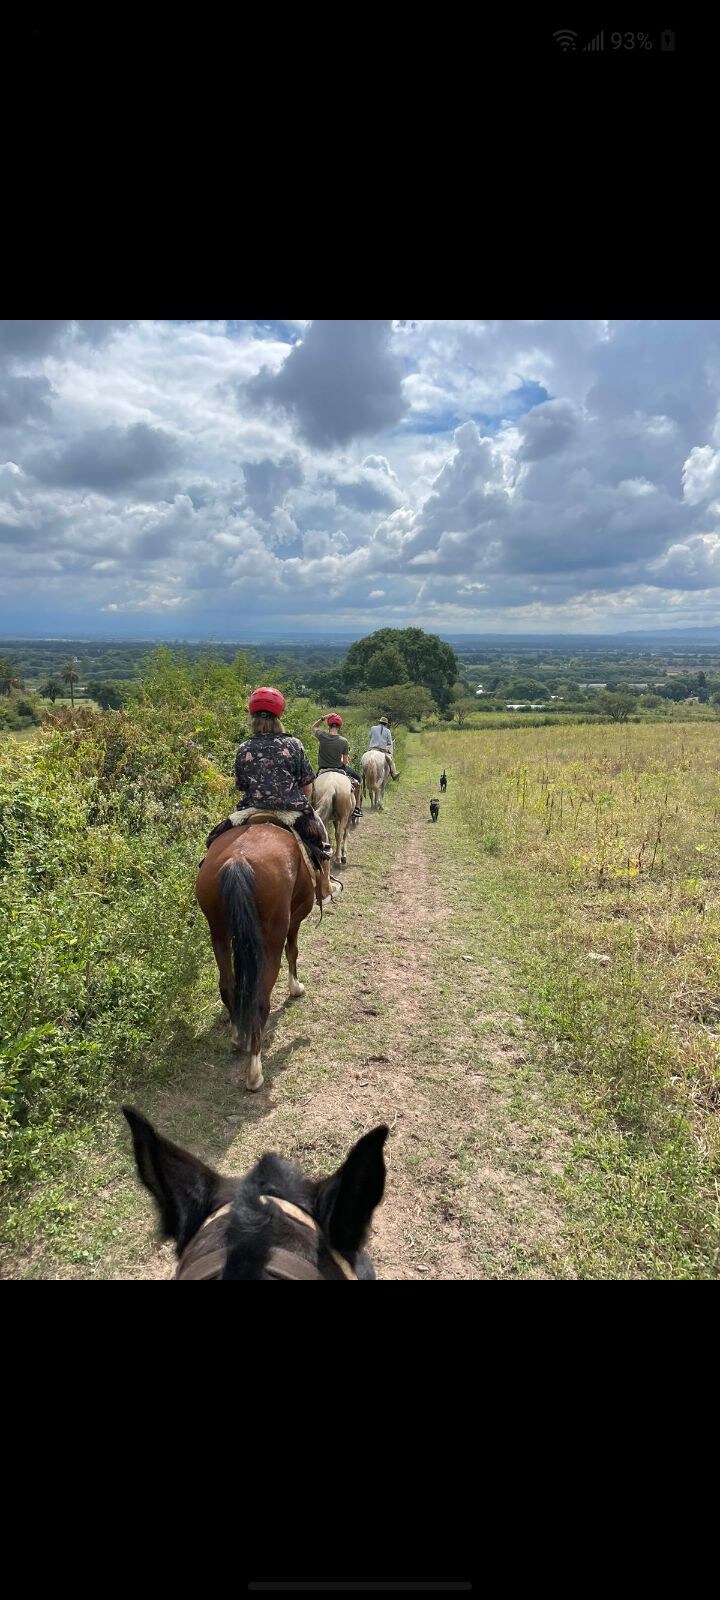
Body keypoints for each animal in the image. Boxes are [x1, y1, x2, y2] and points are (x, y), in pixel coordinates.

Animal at [196, 825, 315, 1088]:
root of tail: (238, 860)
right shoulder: (297, 915)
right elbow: (293, 950)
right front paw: (296, 988)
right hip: (271, 938)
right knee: (260, 999)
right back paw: (255, 1073)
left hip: (218, 932)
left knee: (227, 986)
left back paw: (238, 1039)